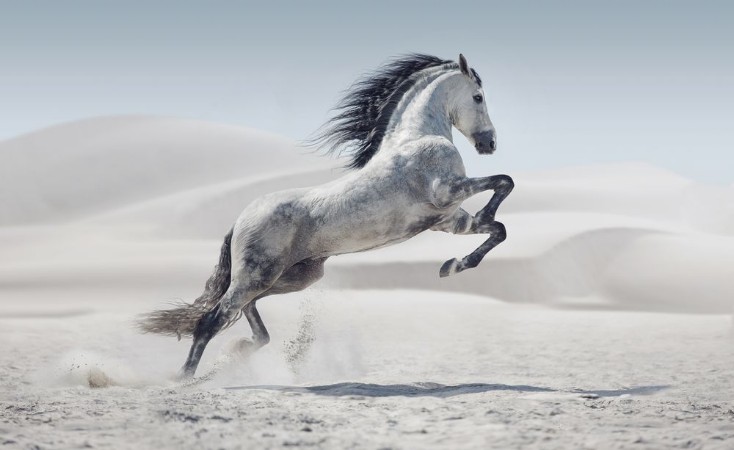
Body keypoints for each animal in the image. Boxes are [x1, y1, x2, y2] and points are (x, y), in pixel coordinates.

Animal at [138, 53, 514, 379]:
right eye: (478, 97)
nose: (490, 144)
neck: (417, 138)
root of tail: (241, 219)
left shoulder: (449, 220)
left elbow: (498, 229)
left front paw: (452, 265)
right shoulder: (446, 192)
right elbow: (504, 182)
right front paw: (462, 251)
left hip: (292, 277)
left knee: (246, 313)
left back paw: (239, 351)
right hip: (258, 275)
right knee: (212, 319)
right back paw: (185, 378)